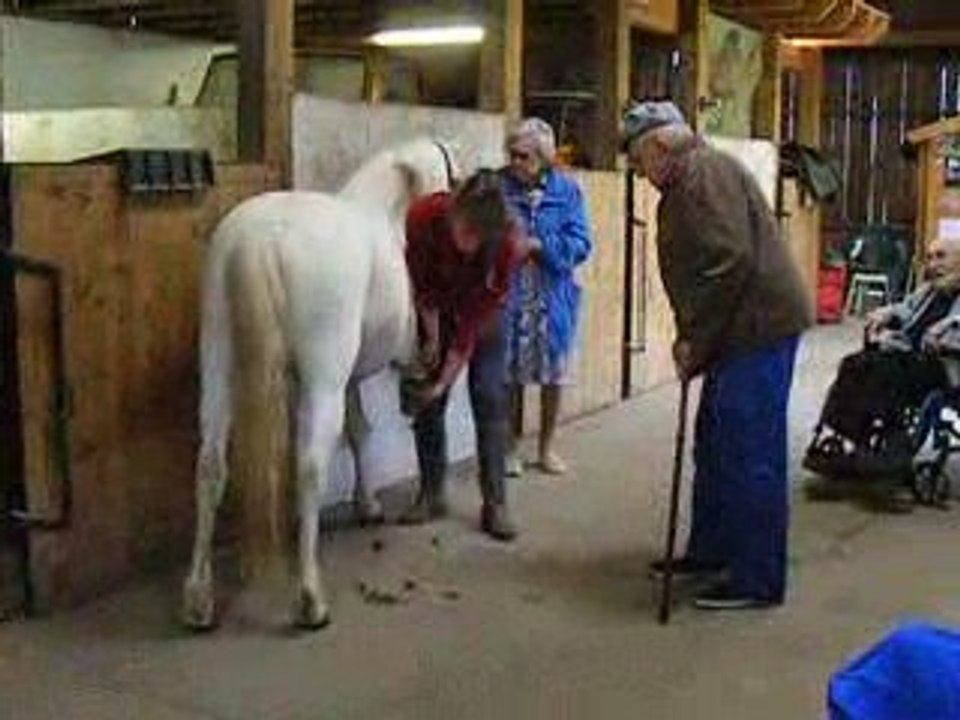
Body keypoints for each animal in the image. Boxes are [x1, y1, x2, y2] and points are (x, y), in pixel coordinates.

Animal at [181, 138, 457, 631]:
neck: (389, 213)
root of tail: (262, 239)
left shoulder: (347, 380)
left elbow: (359, 431)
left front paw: (367, 505)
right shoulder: (350, 377)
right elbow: (363, 432)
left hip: (219, 366)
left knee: (210, 466)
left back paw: (198, 598)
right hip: (321, 380)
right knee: (309, 465)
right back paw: (311, 599)